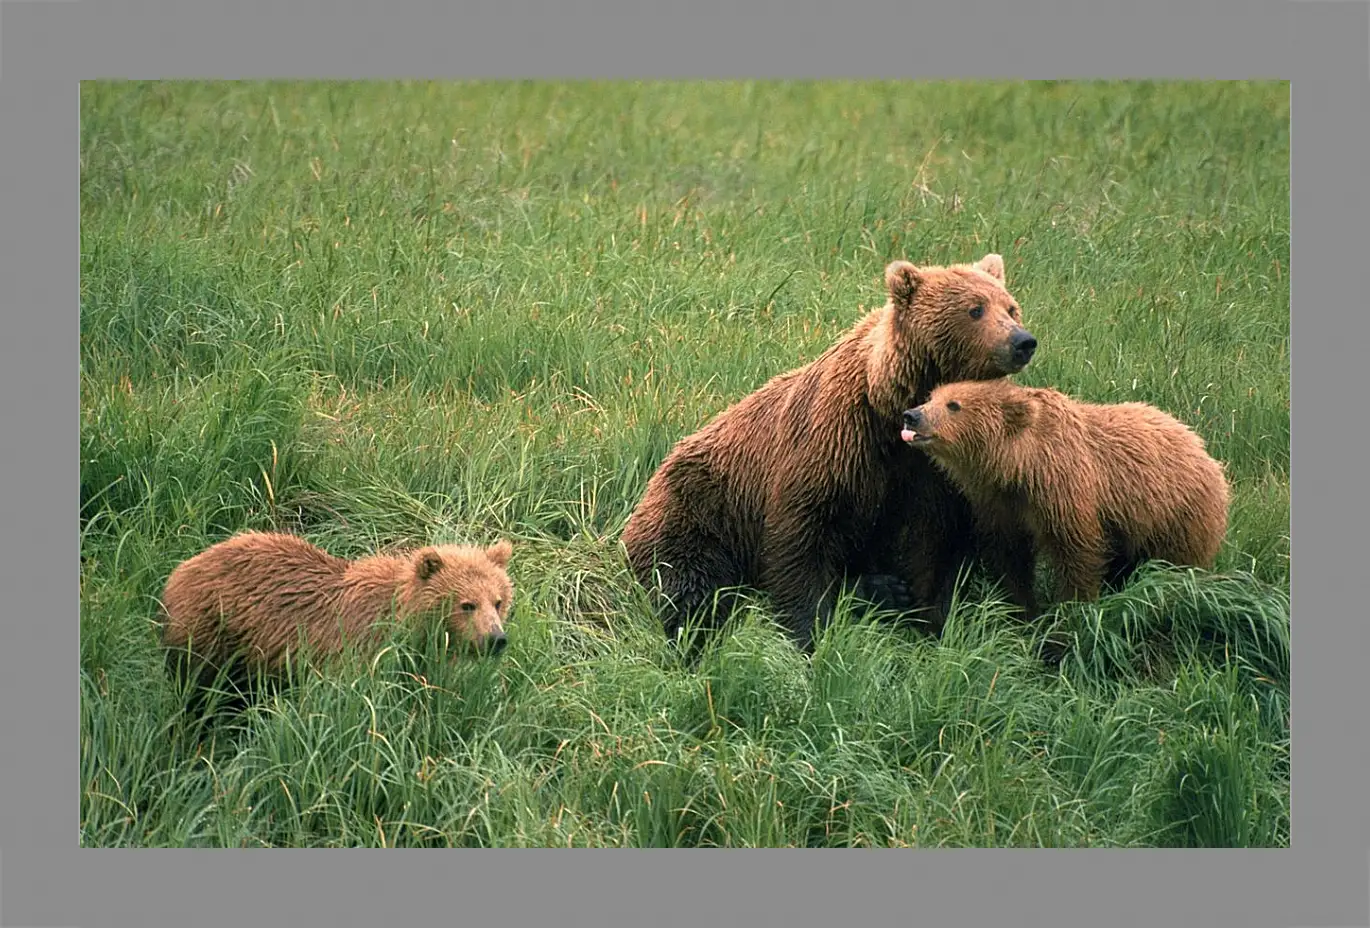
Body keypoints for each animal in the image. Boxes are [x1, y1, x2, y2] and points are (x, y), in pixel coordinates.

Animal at [163, 529, 515, 688]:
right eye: (467, 604)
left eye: (498, 601)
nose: (496, 639)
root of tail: (182, 566)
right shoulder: (357, 648)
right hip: (211, 628)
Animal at [621, 249, 1035, 646]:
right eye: (975, 309)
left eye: (1011, 307)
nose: (1022, 341)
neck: (893, 409)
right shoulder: (837, 441)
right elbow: (803, 536)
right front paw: (807, 632)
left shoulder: (938, 471)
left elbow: (934, 545)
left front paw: (930, 620)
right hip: (701, 510)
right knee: (686, 577)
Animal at [898, 375, 1233, 614]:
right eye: (932, 397)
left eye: (954, 405)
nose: (911, 415)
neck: (1021, 466)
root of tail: (1203, 449)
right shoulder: (999, 504)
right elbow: (1010, 556)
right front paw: (1023, 608)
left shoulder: (1066, 492)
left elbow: (1078, 555)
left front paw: (1071, 611)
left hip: (1177, 517)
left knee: (1175, 565)